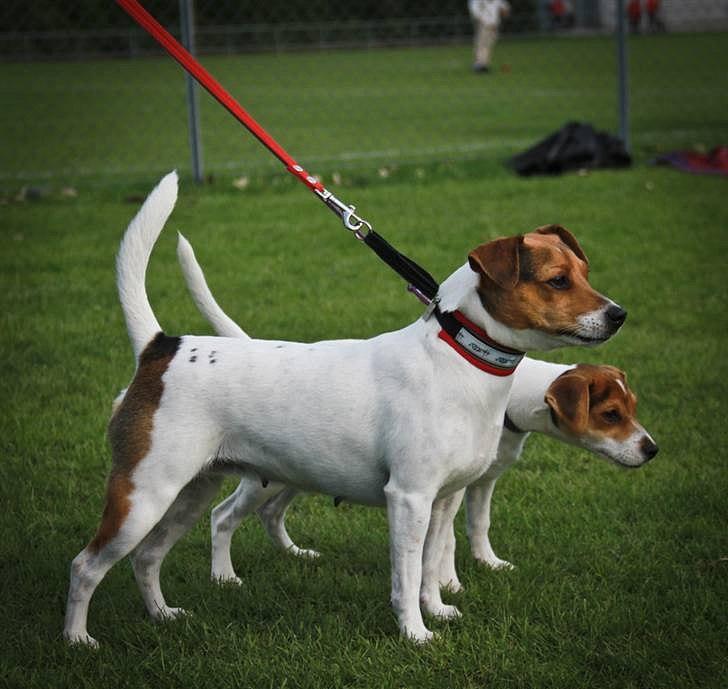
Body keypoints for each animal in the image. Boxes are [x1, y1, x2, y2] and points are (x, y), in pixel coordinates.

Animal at [65, 172, 628, 644]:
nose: (619, 315)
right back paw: (78, 640)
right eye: (557, 280)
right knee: (86, 566)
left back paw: (162, 615)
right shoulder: (409, 499)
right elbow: (406, 575)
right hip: (143, 495)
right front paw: (415, 634)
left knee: (147, 557)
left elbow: (432, 566)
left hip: (191, 492)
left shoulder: (443, 500)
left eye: (584, 272)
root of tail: (161, 347)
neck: (458, 358)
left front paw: (439, 610)